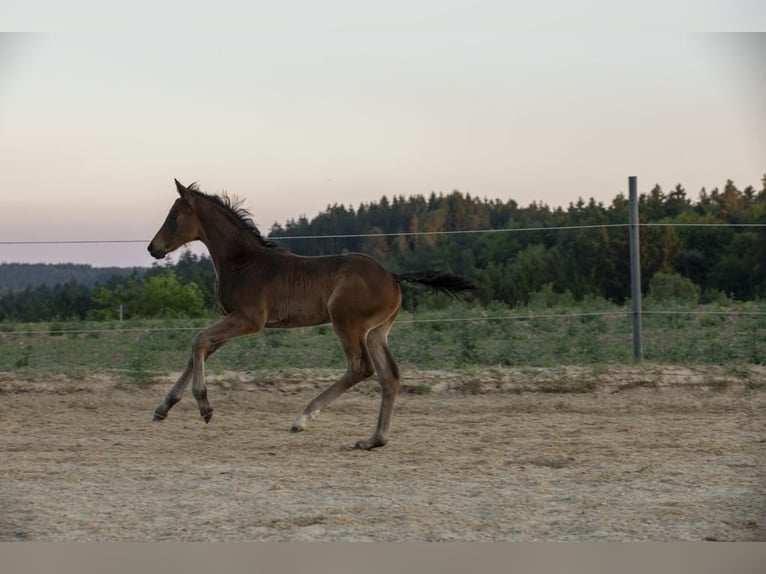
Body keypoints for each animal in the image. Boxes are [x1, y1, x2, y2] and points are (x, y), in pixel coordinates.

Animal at [148, 179, 476, 449]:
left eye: (174, 214)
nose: (153, 248)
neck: (243, 262)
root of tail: (393, 276)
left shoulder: (249, 319)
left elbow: (199, 341)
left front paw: (204, 406)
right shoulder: (234, 320)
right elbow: (199, 351)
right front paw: (163, 408)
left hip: (347, 322)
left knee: (360, 368)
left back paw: (303, 417)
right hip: (377, 331)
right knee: (389, 375)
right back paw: (374, 440)